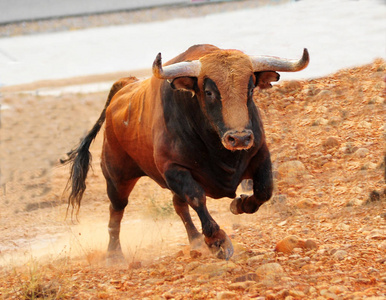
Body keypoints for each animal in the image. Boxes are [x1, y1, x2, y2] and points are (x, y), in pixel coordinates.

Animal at [63, 44, 310, 260]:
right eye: (209, 92)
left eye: (250, 89)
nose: (239, 138)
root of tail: (124, 88)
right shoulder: (174, 169)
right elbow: (197, 197)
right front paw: (218, 241)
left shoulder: (259, 153)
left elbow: (264, 190)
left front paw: (239, 204)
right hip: (117, 177)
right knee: (116, 211)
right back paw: (114, 255)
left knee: (178, 206)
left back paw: (195, 241)